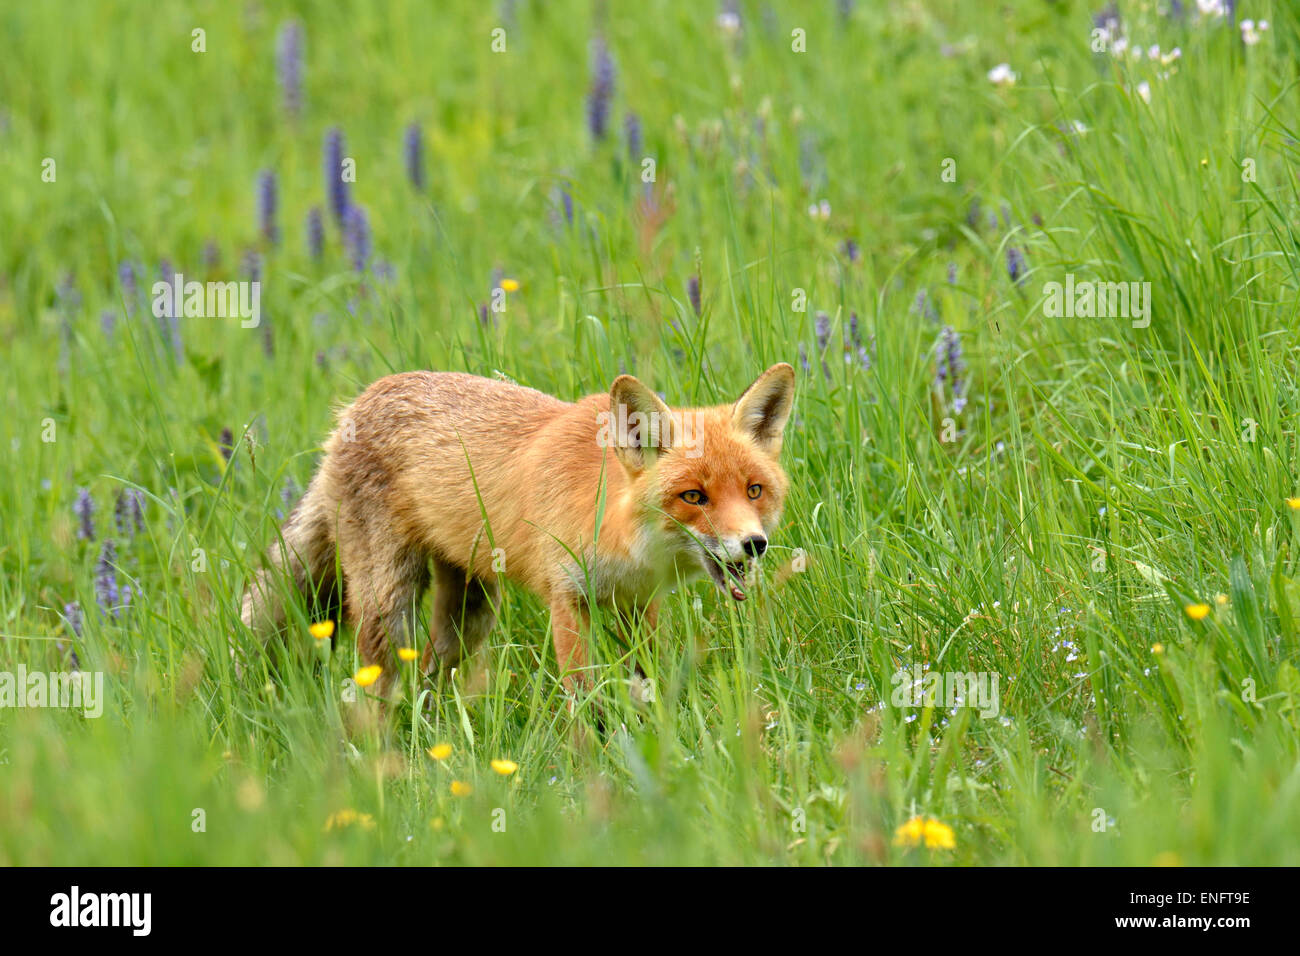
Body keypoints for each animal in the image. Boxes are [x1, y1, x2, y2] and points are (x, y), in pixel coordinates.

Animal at [239, 363, 796, 699]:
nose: (754, 544)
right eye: (694, 497)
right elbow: (582, 697)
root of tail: (354, 408)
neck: (618, 532)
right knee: (379, 685)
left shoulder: (637, 604)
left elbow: (648, 680)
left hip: (471, 611)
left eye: (753, 491)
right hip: (389, 604)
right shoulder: (566, 599)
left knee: (431, 675)